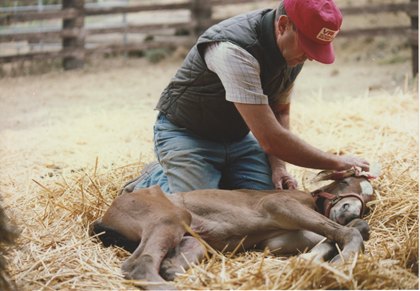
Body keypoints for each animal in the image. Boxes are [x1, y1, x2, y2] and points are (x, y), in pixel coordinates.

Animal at [90, 169, 376, 290]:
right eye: (346, 181)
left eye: (369, 198)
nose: (349, 209)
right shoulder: (280, 205)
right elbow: (350, 231)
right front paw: (343, 262)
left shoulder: (280, 239)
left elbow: (351, 228)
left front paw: (308, 259)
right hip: (168, 217)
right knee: (138, 264)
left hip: (192, 237)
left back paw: (173, 269)